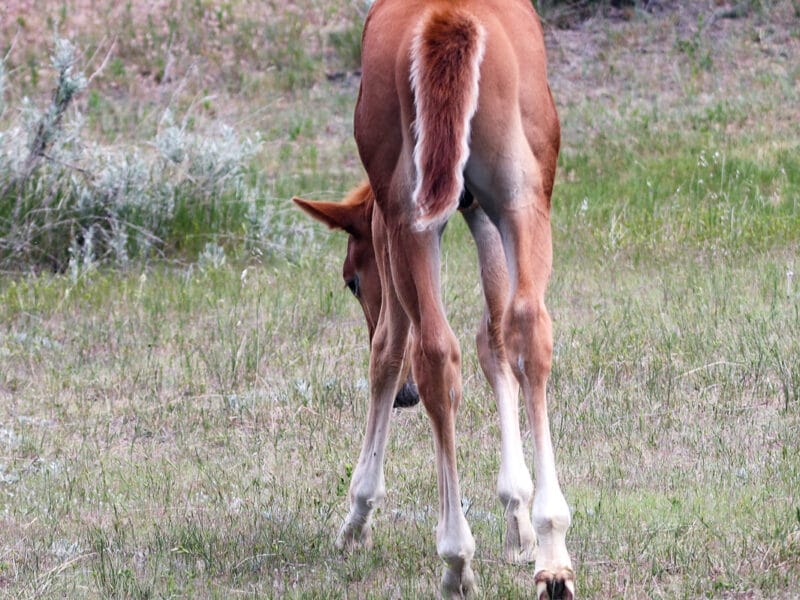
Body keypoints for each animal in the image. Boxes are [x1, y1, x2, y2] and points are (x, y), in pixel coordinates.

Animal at [296, 0, 576, 596]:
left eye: (352, 278)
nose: (404, 399)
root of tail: (451, 20)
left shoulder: (389, 226)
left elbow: (386, 351)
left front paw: (357, 517)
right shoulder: (481, 213)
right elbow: (495, 340)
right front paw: (518, 517)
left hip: (411, 216)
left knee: (432, 354)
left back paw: (455, 559)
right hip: (520, 194)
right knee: (528, 328)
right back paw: (553, 551)